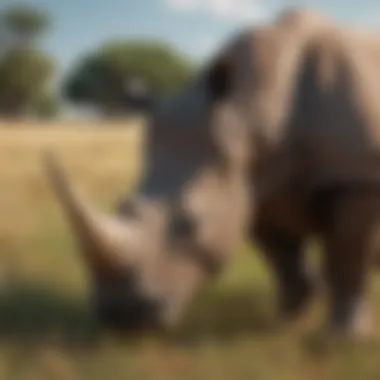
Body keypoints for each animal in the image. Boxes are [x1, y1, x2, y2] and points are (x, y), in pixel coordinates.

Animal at [42, 7, 380, 336]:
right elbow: (281, 255)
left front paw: (342, 337)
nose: (120, 319)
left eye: (190, 223)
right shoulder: (252, 186)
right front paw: (286, 317)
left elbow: (347, 256)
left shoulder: (356, 178)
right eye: (123, 205)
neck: (250, 113)